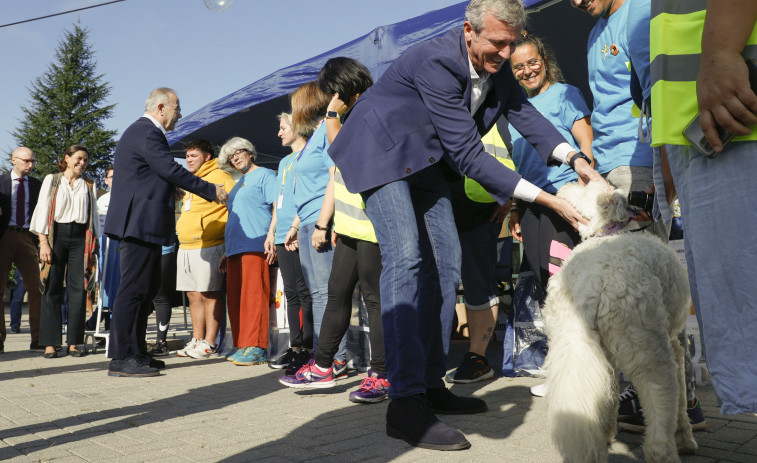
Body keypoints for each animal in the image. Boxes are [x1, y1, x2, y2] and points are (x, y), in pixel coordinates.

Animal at [544, 182, 696, 463]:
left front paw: (607, 431)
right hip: (647, 345)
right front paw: (686, 439)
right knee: (661, 399)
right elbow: (682, 393)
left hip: (573, 341)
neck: (609, 229)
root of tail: (590, 283)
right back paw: (667, 450)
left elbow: (610, 393)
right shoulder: (675, 342)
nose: (566, 183)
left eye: (585, 186)